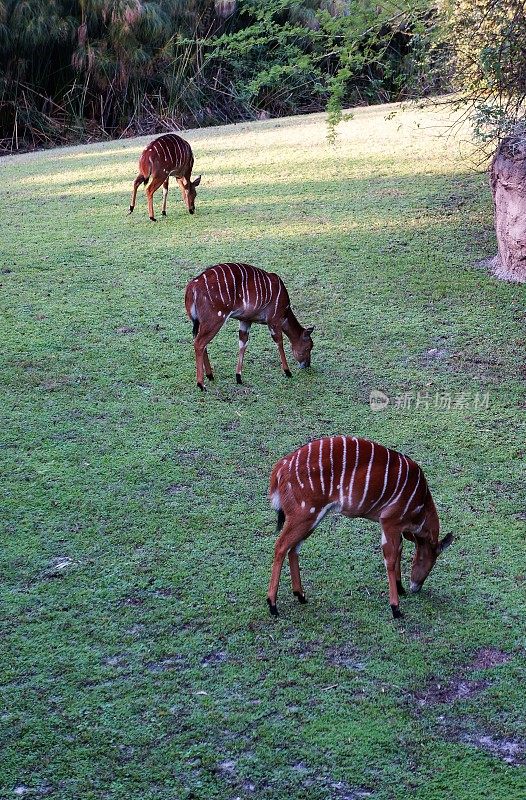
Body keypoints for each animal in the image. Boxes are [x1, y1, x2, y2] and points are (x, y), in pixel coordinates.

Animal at [186, 262, 316, 390]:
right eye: (308, 347)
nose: (307, 364)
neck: (285, 312)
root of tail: (192, 286)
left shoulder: (246, 320)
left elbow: (243, 344)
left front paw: (238, 377)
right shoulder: (274, 320)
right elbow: (279, 343)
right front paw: (287, 371)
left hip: (201, 322)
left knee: (201, 343)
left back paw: (210, 375)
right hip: (215, 319)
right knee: (199, 343)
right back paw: (201, 384)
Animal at [268, 438, 454, 620]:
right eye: (426, 561)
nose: (416, 587)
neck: (420, 501)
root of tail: (280, 468)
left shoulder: (395, 526)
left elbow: (399, 549)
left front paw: (400, 588)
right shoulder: (389, 521)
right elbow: (390, 559)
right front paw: (395, 608)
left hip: (313, 518)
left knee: (294, 548)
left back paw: (300, 595)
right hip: (304, 514)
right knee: (281, 546)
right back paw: (272, 605)